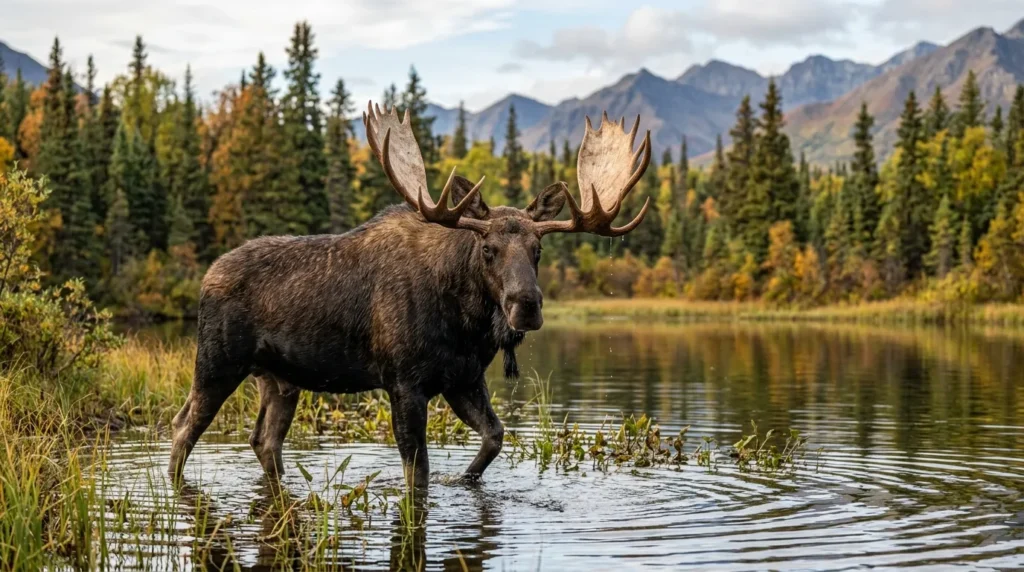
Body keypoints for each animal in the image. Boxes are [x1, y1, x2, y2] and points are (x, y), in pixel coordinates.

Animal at [168, 101, 651, 491]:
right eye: (488, 249)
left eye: (538, 249)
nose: (526, 306)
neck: (465, 323)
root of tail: (207, 275)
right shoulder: (403, 382)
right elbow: (416, 473)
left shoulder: (463, 379)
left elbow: (494, 437)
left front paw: (464, 479)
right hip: (216, 362)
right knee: (182, 426)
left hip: (280, 378)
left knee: (263, 440)